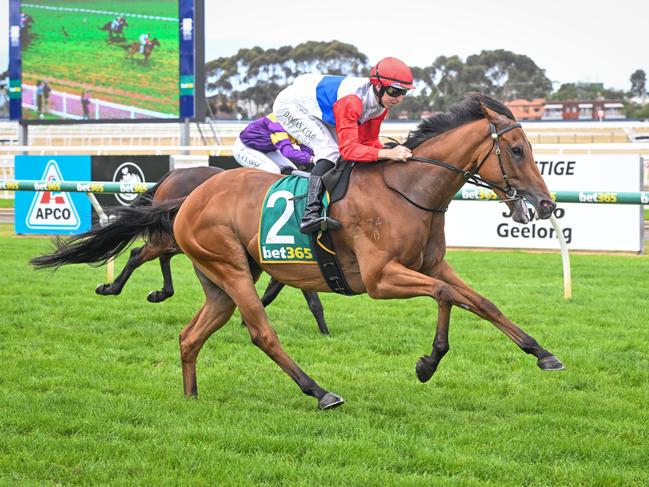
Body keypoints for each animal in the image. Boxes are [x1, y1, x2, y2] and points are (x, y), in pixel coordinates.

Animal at [93, 167, 332, 336]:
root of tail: (175, 173)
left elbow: (275, 293)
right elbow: (310, 299)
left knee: (162, 255)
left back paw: (161, 292)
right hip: (178, 234)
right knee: (138, 254)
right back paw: (111, 287)